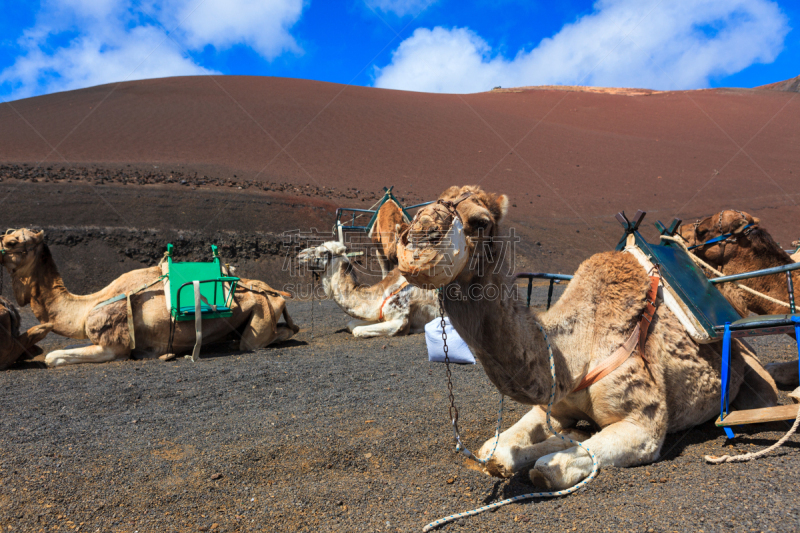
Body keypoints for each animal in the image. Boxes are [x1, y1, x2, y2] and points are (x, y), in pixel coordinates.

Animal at [0, 229, 300, 366]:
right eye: (7, 236)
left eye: (12, 242)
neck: (88, 306)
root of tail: (275, 291)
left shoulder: (114, 347)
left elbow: (52, 358)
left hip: (260, 315)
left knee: (263, 339)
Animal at [296, 241, 434, 336]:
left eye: (324, 252)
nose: (300, 254)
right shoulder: (378, 316)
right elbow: (351, 324)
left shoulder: (400, 319)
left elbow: (357, 331)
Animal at [396, 185, 780, 488]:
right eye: (421, 209)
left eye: (479, 221)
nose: (416, 244)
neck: (578, 351)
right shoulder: (551, 406)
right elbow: (496, 450)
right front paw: (549, 441)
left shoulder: (643, 427)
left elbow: (548, 470)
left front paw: (556, 450)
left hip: (755, 380)